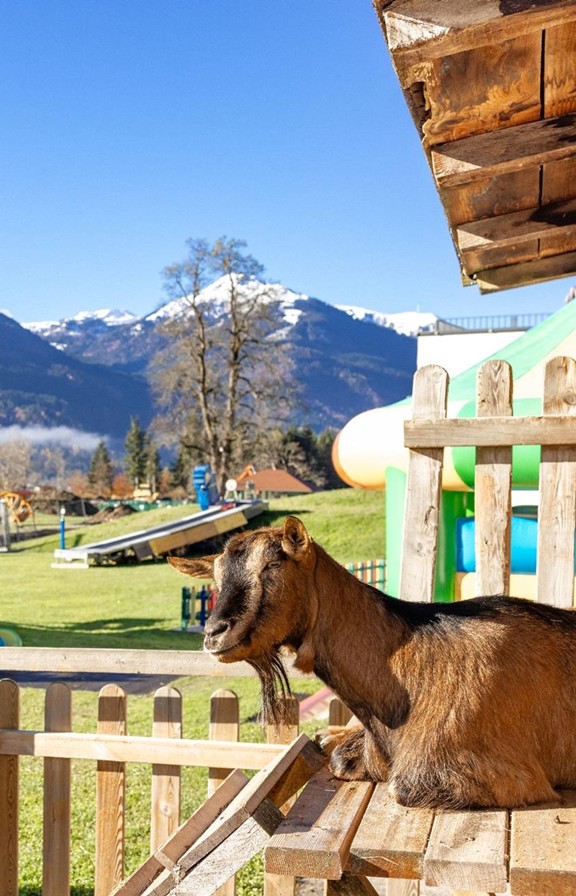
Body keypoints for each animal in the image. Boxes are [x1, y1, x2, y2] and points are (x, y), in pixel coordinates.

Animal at [169, 516, 576, 809]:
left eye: (272, 564)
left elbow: (399, 787)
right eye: (216, 577)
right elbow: (340, 758)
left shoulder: (505, 774)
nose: (214, 632)